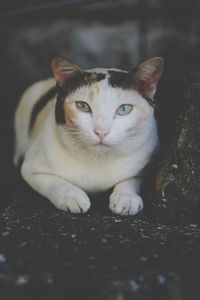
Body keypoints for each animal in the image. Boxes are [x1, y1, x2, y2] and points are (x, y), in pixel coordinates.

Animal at [14, 56, 164, 216]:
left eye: (124, 109)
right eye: (82, 106)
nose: (101, 132)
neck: (98, 160)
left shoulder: (147, 165)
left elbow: (131, 179)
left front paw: (126, 198)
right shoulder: (31, 169)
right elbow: (55, 182)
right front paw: (72, 197)